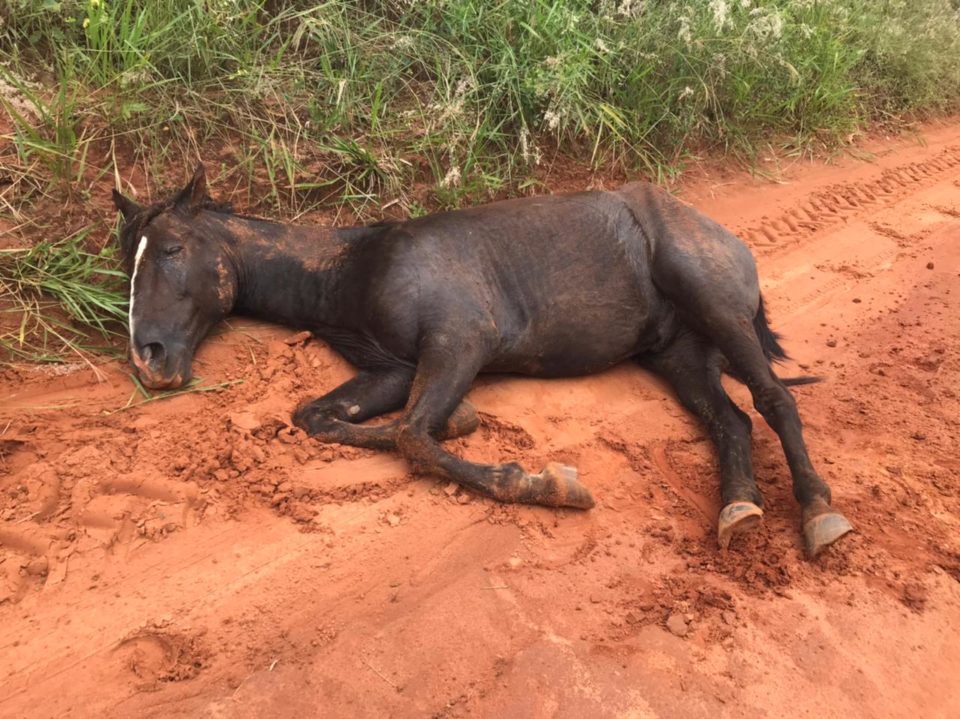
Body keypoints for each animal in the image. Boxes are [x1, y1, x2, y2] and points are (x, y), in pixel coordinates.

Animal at [112, 167, 856, 556]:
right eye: (129, 258)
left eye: (172, 249)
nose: (148, 359)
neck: (351, 269)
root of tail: (726, 239)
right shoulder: (390, 368)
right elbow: (324, 417)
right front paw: (466, 421)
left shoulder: (460, 341)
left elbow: (415, 436)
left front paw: (547, 484)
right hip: (678, 352)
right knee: (732, 421)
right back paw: (739, 507)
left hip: (714, 304)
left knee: (775, 399)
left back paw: (819, 513)